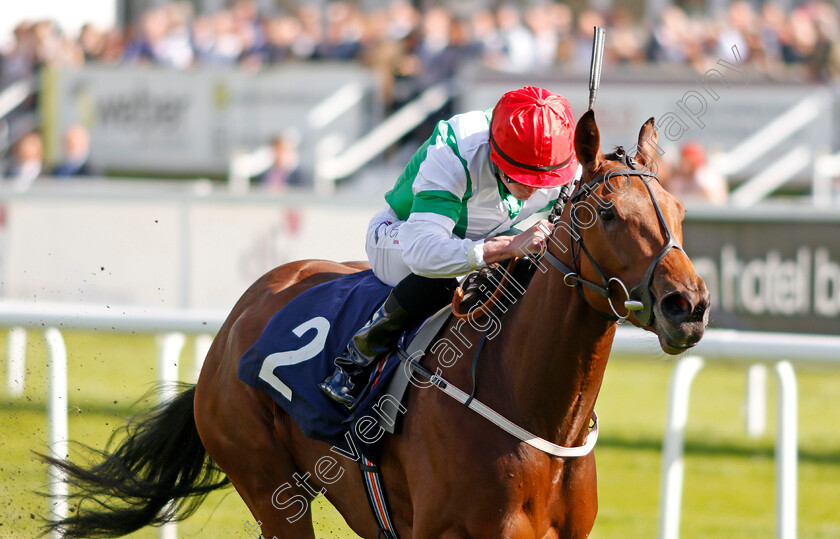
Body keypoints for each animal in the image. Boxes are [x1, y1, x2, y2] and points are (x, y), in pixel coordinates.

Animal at [41, 110, 708, 539]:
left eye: (678, 209)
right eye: (608, 213)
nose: (689, 305)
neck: (532, 412)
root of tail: (239, 316)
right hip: (267, 484)